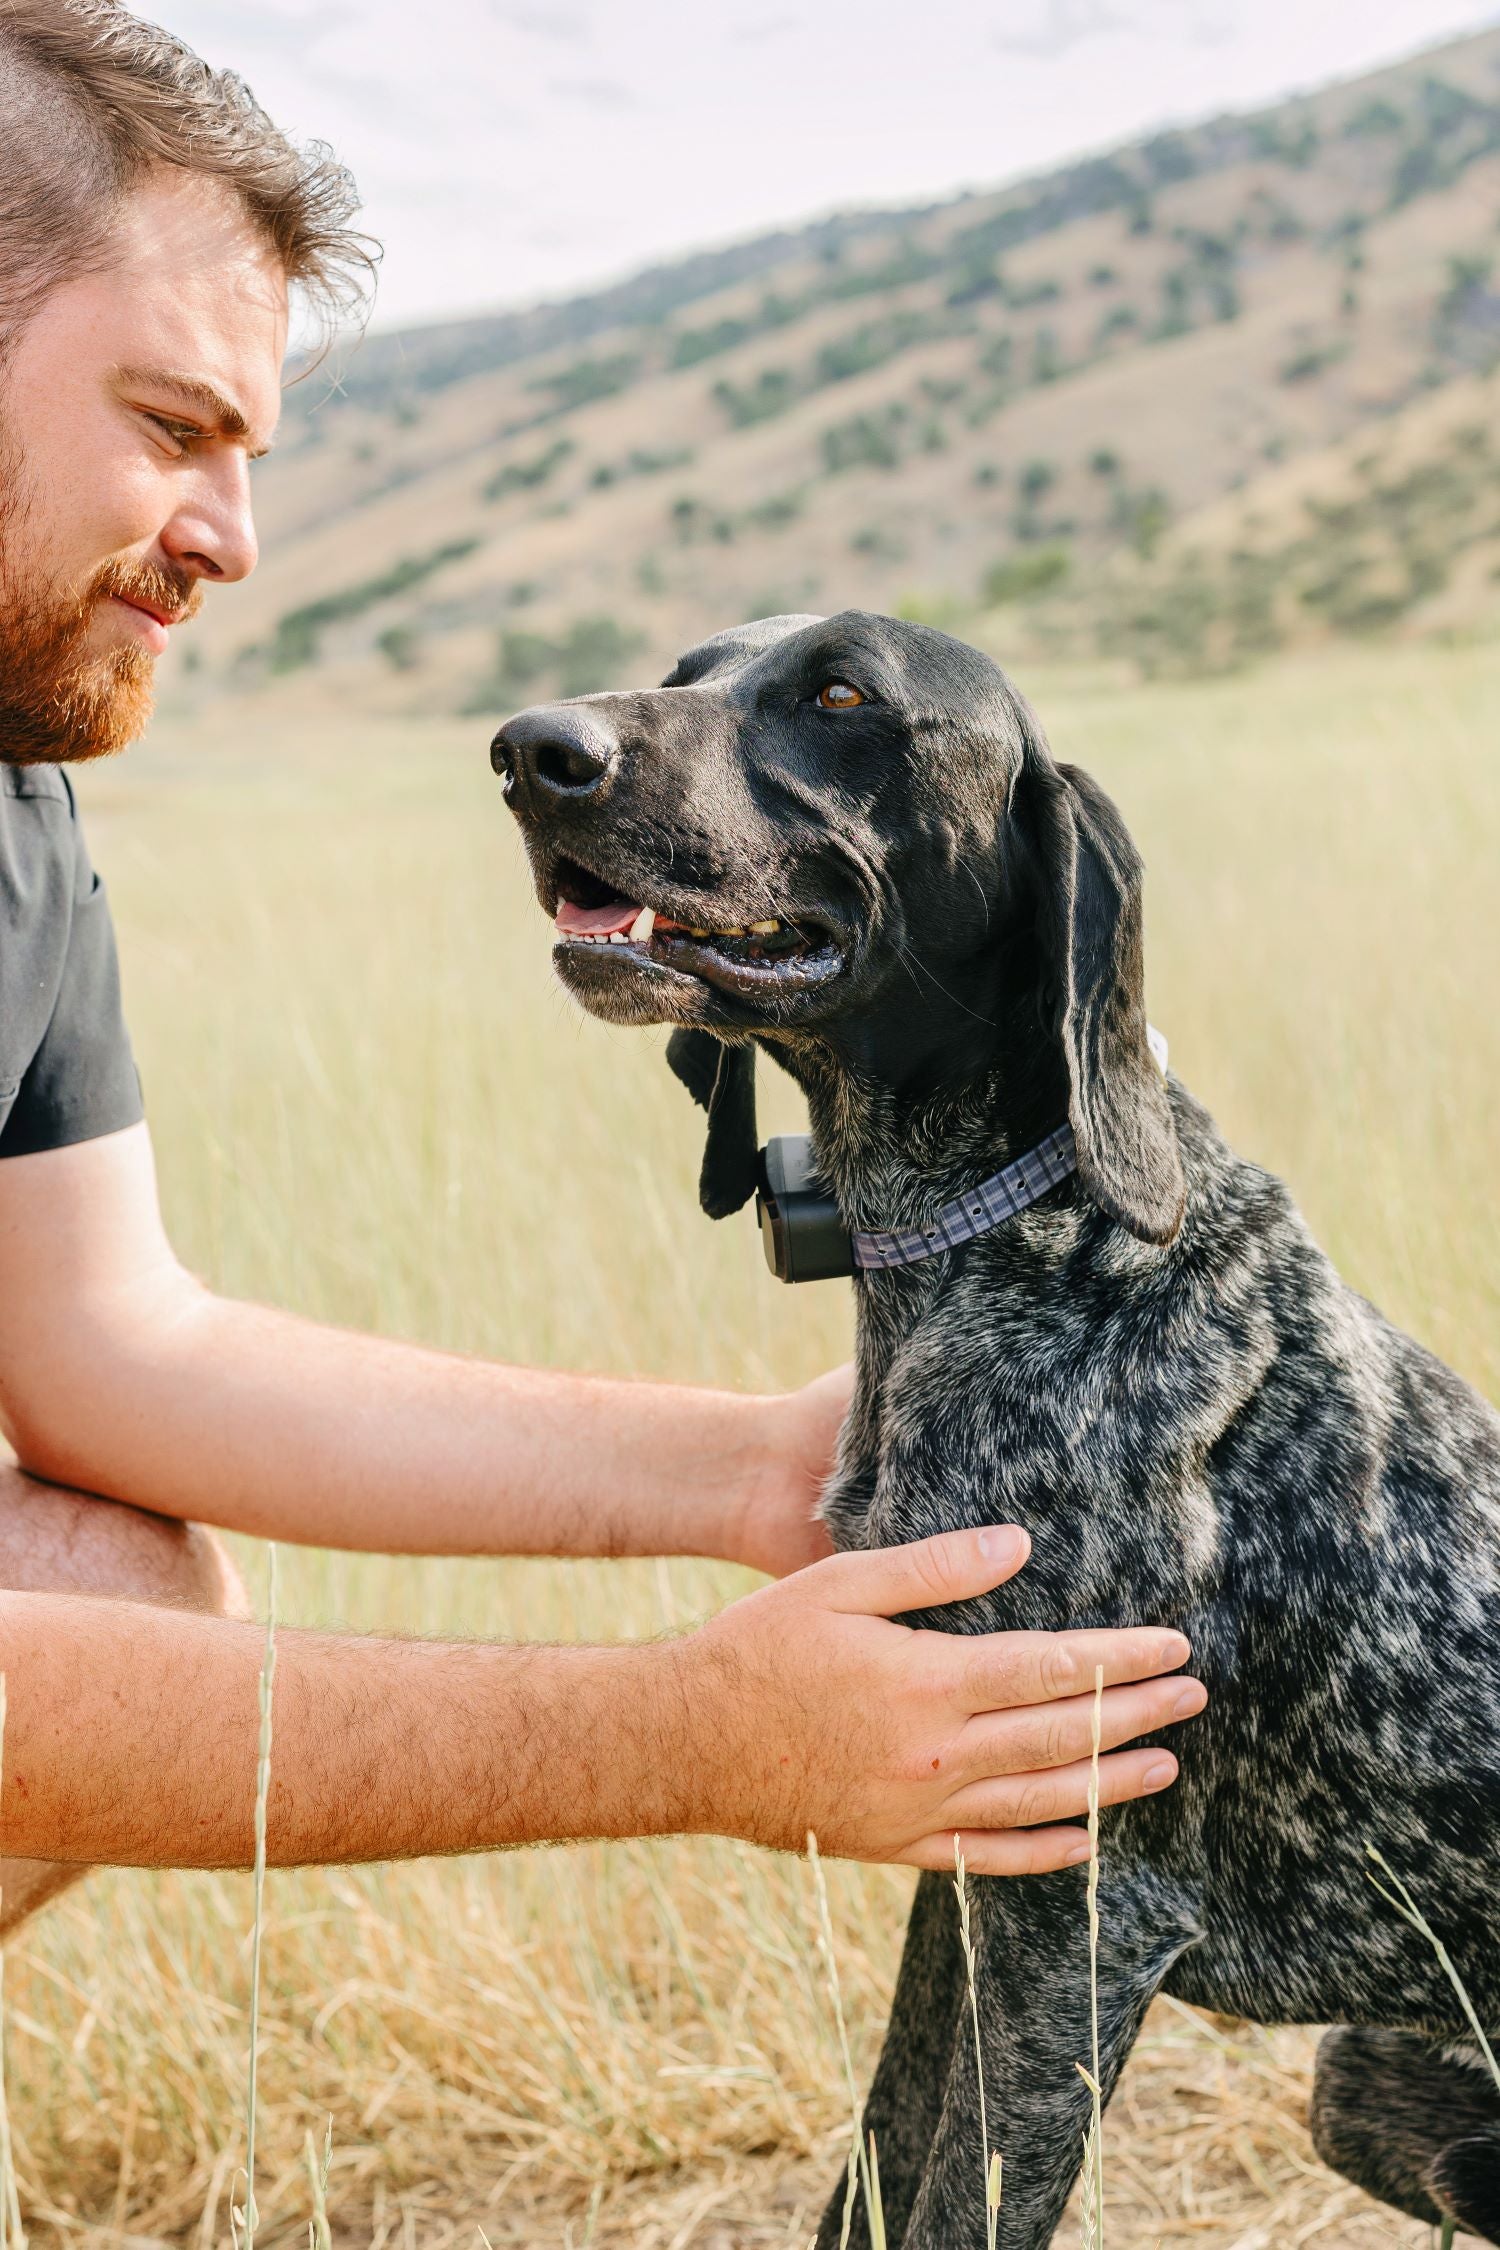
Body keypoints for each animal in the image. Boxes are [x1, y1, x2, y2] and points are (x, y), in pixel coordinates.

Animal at [494, 616, 1500, 2250]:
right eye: (687, 668)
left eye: (841, 692)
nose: (531, 750)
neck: (1007, 1227)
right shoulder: (959, 1837)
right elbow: (874, 2171)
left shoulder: (1073, 1925)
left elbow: (957, 2198)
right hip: (1367, 2077)